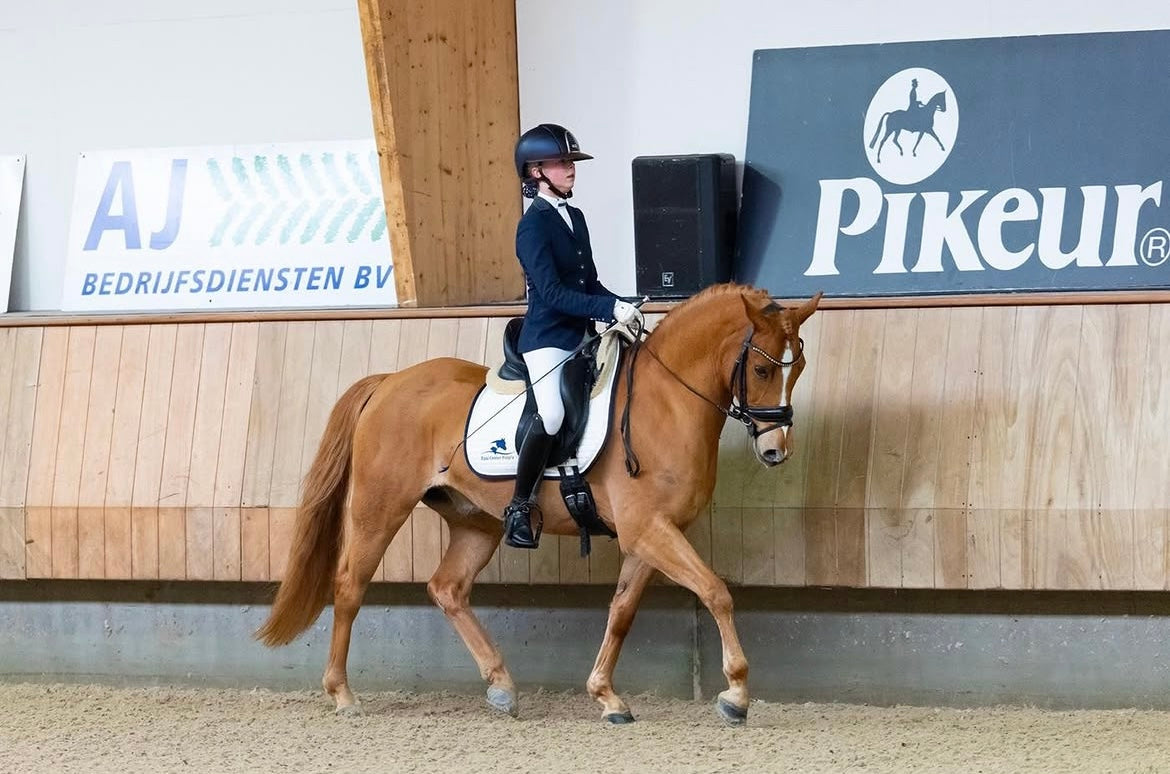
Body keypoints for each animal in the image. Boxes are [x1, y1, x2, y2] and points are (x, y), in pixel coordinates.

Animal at [256, 283, 822, 725]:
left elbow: (622, 611)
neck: (665, 402)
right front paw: (737, 694)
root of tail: (390, 382)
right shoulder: (648, 529)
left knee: (447, 589)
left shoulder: (651, 535)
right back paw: (343, 695)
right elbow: (715, 592)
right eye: (762, 369)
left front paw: (606, 696)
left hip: (476, 521)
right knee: (350, 585)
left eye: (798, 367)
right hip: (381, 507)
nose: (775, 451)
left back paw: (502, 686)